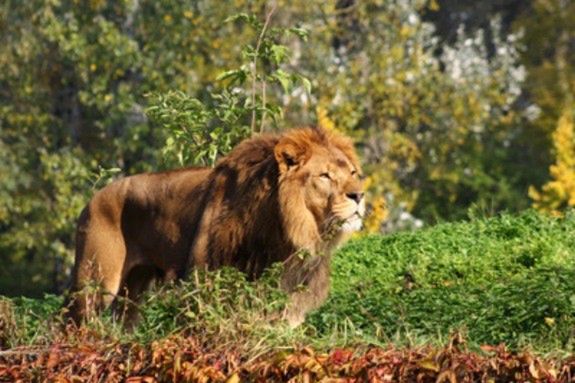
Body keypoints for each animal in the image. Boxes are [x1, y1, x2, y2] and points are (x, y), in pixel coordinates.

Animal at [65, 126, 364, 328]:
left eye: (352, 173)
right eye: (324, 176)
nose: (359, 195)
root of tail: (93, 198)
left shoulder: (290, 298)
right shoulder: (203, 282)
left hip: (134, 289)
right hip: (95, 285)